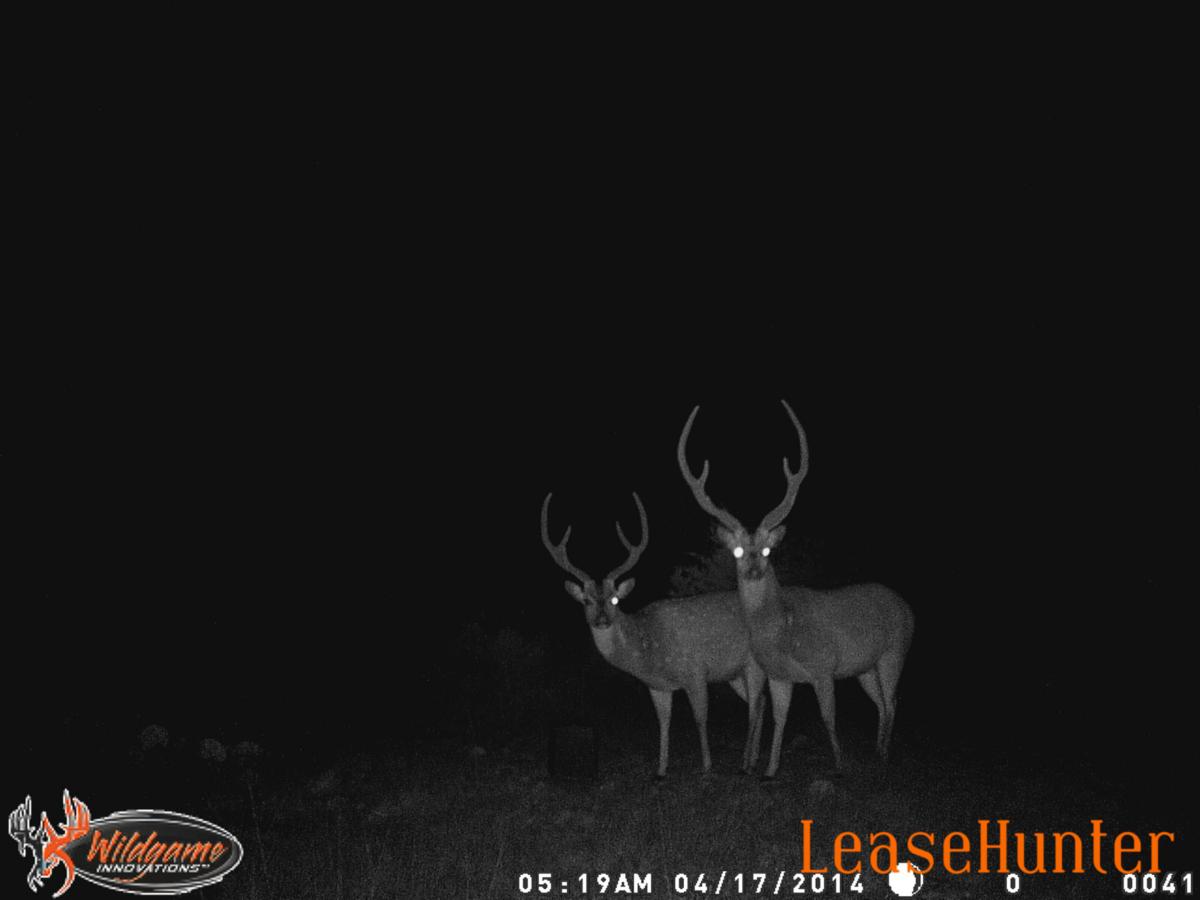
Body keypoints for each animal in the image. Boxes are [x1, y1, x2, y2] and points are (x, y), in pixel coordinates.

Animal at [541, 491, 766, 780]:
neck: (649, 651)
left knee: (756, 706)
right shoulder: (656, 686)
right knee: (759, 704)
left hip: (752, 663)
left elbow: (700, 718)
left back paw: (747, 762)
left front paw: (706, 766)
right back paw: (754, 758)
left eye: (614, 599)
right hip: (734, 674)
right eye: (587, 601)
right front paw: (660, 769)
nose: (602, 620)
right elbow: (663, 723)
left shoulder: (694, 672)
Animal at [677, 400, 915, 779]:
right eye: (738, 551)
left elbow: (828, 717)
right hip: (864, 667)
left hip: (896, 650)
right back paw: (878, 750)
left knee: (893, 698)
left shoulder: (824, 665)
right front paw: (770, 769)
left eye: (768, 550)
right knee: (881, 701)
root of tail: (907, 606)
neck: (781, 631)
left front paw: (839, 766)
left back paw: (884, 755)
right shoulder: (779, 676)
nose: (754, 569)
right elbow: (779, 719)